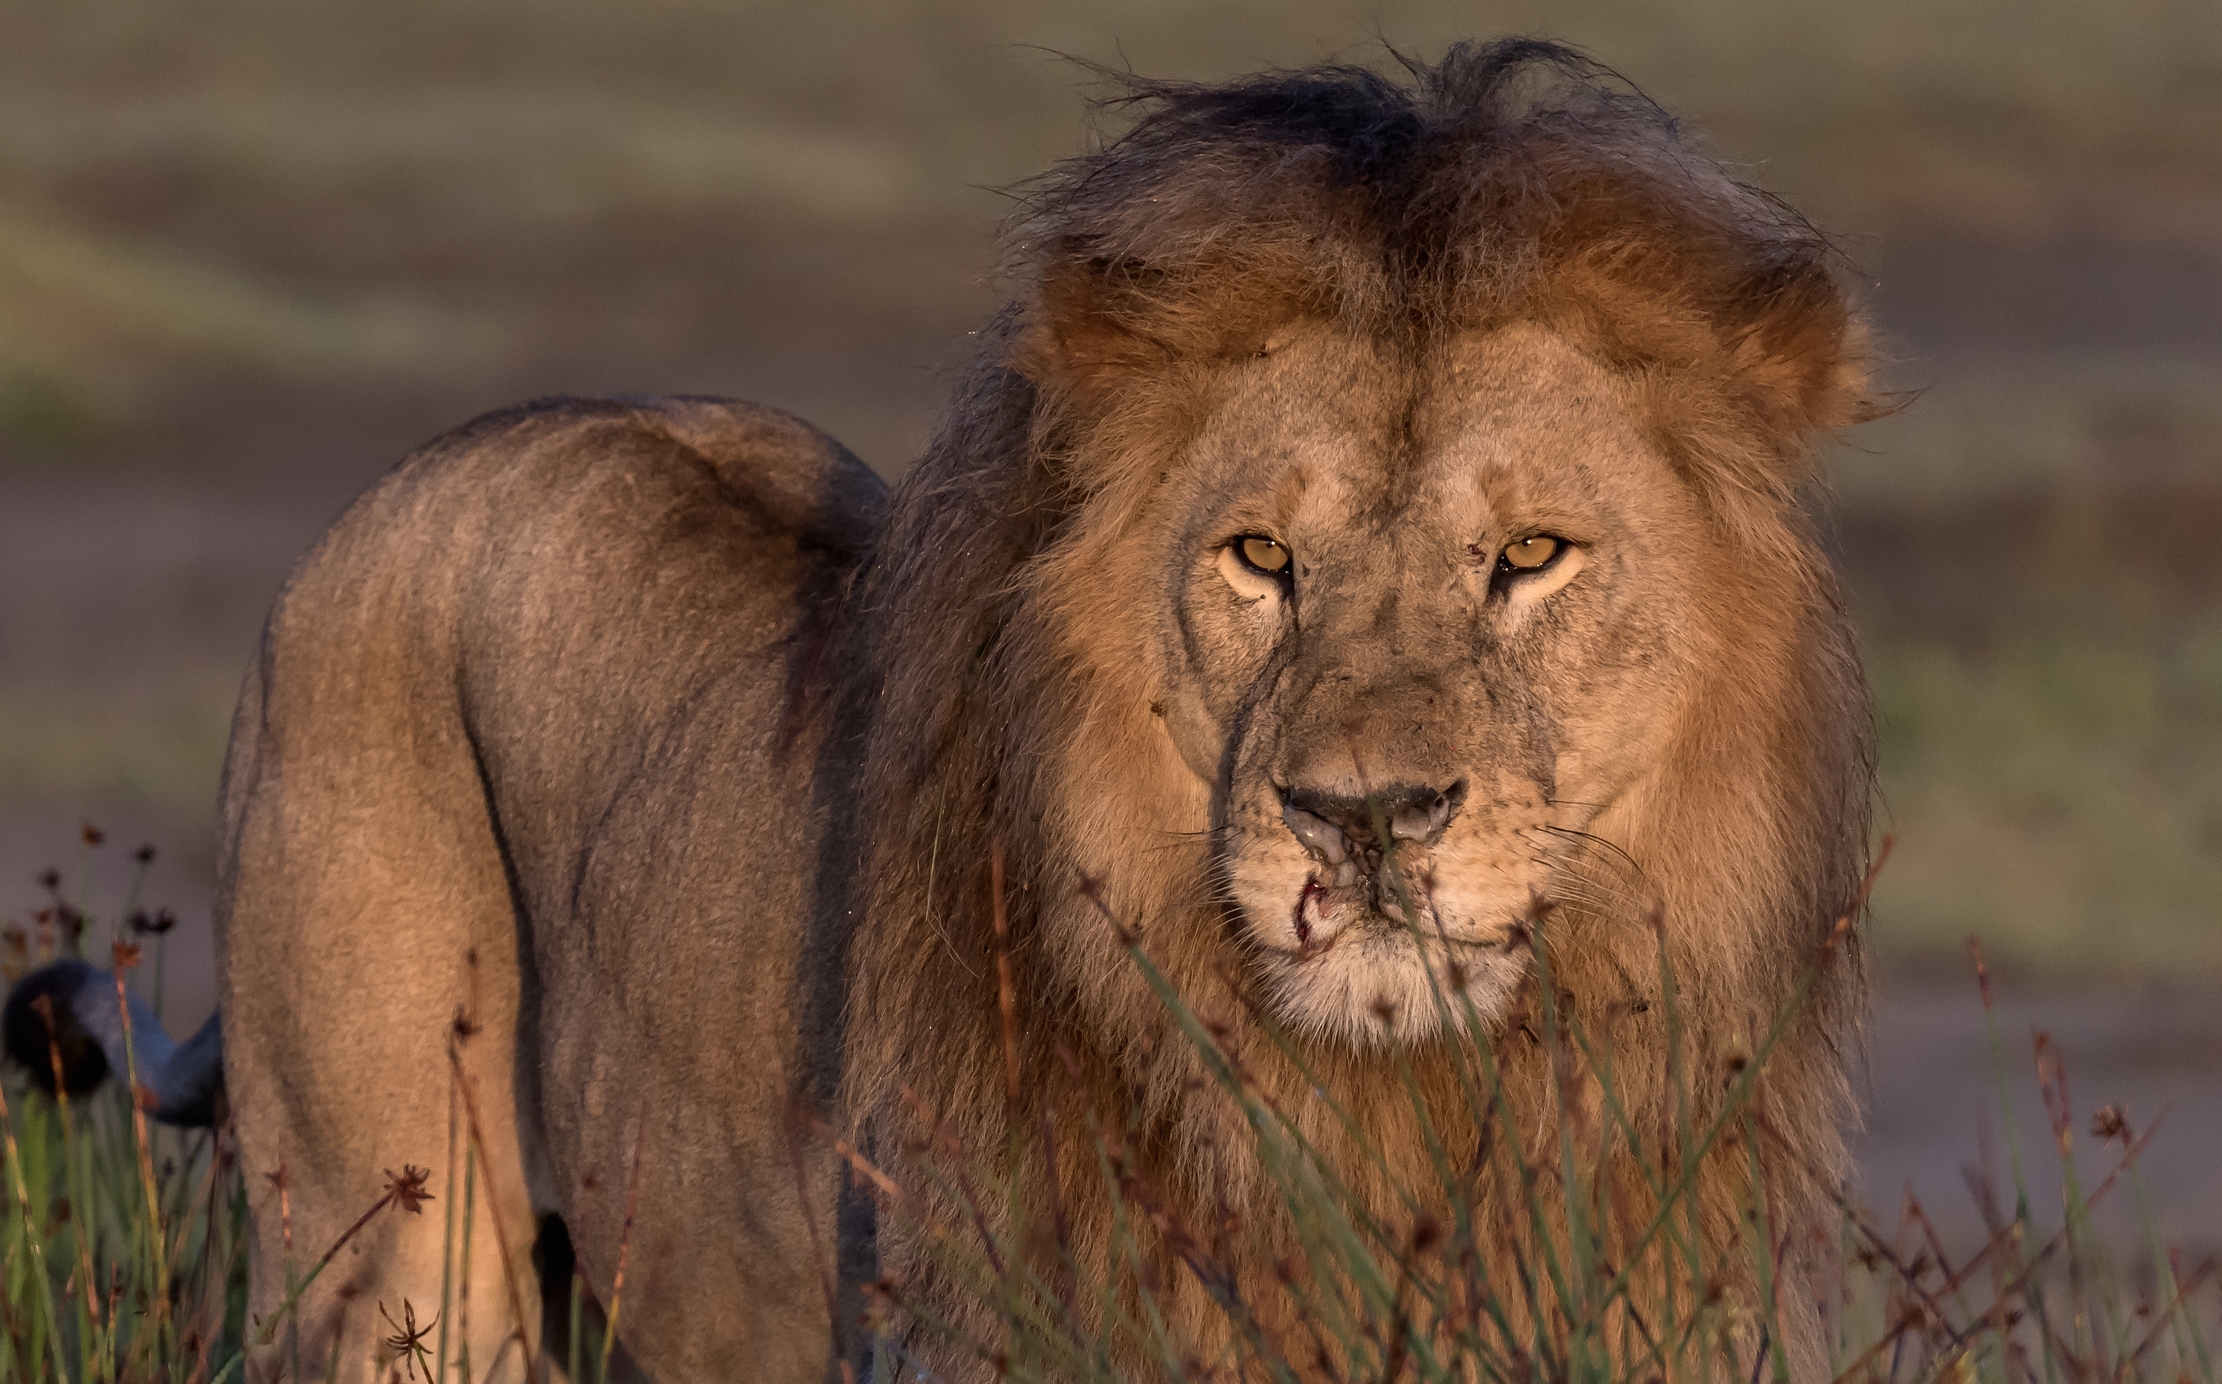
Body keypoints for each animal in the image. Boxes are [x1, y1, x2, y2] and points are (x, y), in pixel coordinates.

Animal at [6, 40, 1876, 1382]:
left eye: (1531, 556)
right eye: (1261, 556)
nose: (1360, 816)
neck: (1398, 1118)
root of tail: (420, 471)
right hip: (384, 1245)